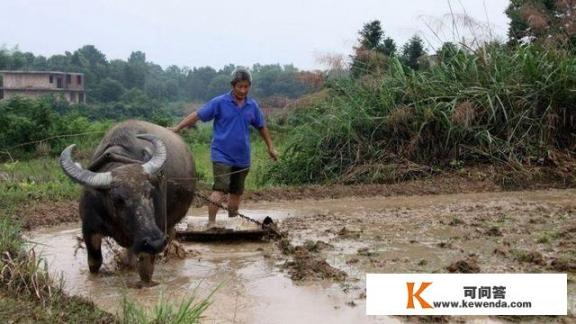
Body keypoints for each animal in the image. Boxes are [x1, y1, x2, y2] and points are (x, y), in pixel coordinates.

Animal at [60, 120, 196, 284]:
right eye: (118, 199)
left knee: (171, 234)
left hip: (169, 223)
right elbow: (94, 263)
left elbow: (145, 271)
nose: (155, 242)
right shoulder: (88, 229)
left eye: (149, 192)